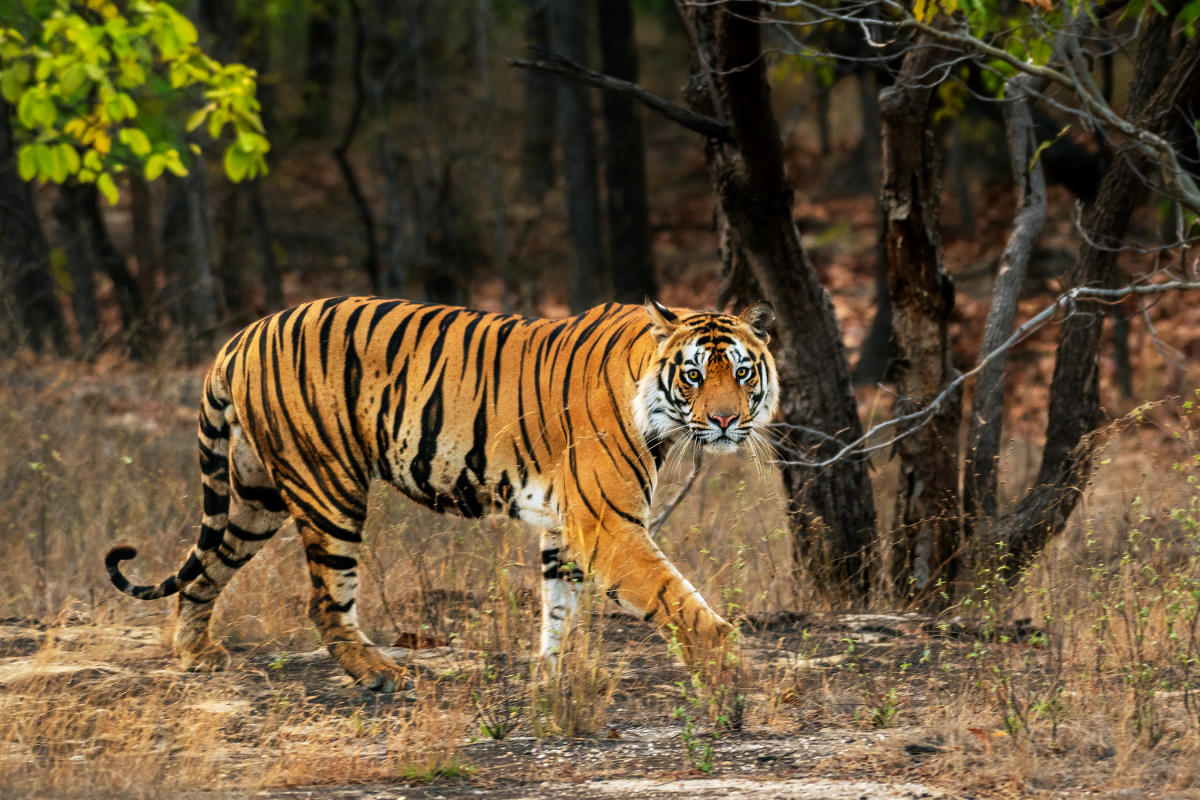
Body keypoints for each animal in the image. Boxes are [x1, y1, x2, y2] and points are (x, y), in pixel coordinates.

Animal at [105, 296, 779, 691]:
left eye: (743, 372)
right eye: (693, 374)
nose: (724, 421)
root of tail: (243, 334)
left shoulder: (567, 526)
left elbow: (559, 610)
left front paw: (552, 681)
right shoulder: (607, 525)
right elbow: (676, 599)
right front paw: (727, 671)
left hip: (254, 493)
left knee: (203, 572)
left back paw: (196, 654)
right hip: (329, 487)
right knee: (324, 602)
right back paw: (379, 674)